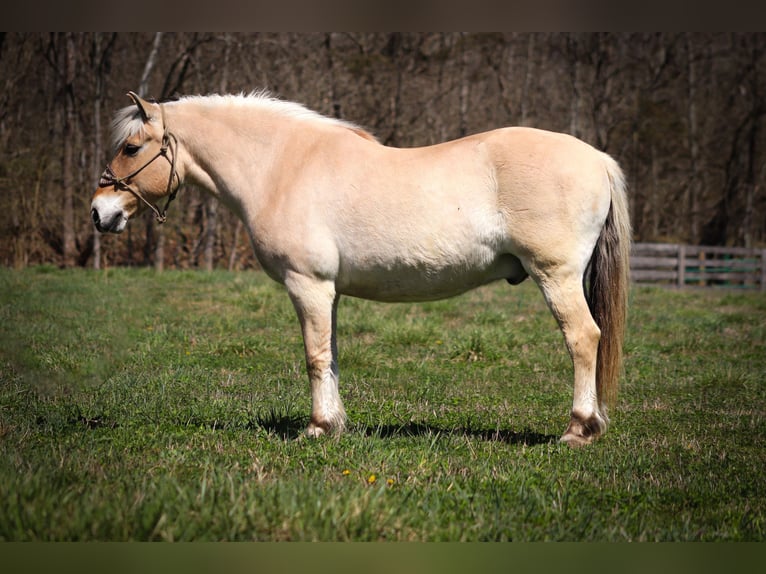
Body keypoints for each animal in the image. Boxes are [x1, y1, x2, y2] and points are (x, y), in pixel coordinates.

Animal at [91, 92, 632, 448]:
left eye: (132, 148)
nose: (100, 212)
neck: (282, 166)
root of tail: (597, 158)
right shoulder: (327, 291)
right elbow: (330, 356)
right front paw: (333, 424)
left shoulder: (306, 285)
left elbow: (313, 357)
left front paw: (315, 428)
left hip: (556, 276)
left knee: (583, 338)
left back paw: (579, 428)